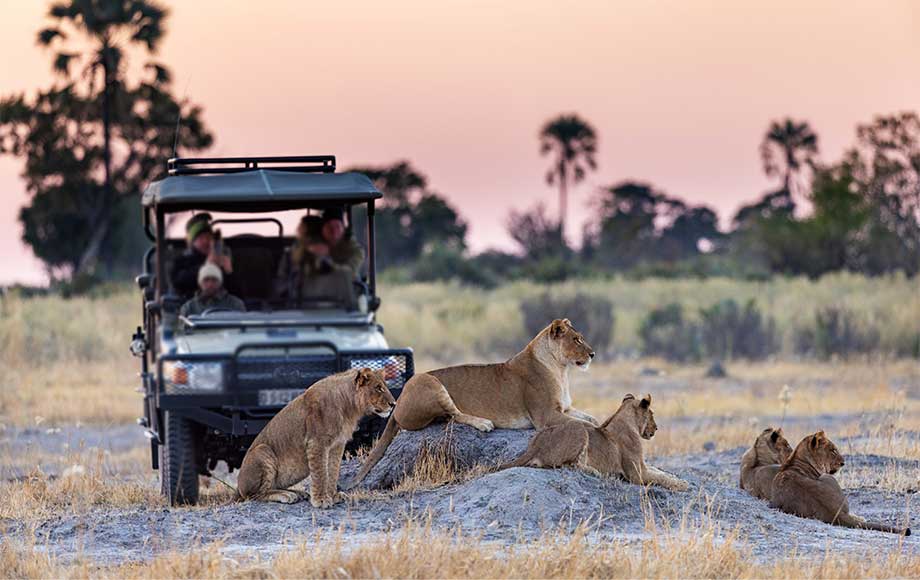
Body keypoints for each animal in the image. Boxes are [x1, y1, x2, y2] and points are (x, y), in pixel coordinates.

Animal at [237, 370, 396, 506]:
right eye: (378, 388)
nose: (393, 404)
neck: (348, 407)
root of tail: (238, 486)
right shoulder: (317, 442)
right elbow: (320, 472)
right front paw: (321, 500)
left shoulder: (338, 444)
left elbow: (333, 470)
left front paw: (333, 496)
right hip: (262, 450)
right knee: (255, 495)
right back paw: (286, 495)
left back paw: (297, 493)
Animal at [348, 320, 600, 488]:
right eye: (577, 339)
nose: (593, 354)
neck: (561, 369)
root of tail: (397, 401)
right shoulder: (545, 416)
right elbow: (588, 426)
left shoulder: (565, 408)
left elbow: (592, 419)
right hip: (430, 382)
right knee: (453, 413)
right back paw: (483, 423)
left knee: (447, 416)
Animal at [500, 392, 688, 492]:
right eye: (652, 414)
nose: (656, 428)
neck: (629, 422)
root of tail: (535, 445)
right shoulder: (637, 474)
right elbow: (660, 478)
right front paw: (682, 484)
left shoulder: (642, 466)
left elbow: (659, 472)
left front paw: (676, 478)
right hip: (579, 427)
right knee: (571, 465)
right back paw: (596, 472)